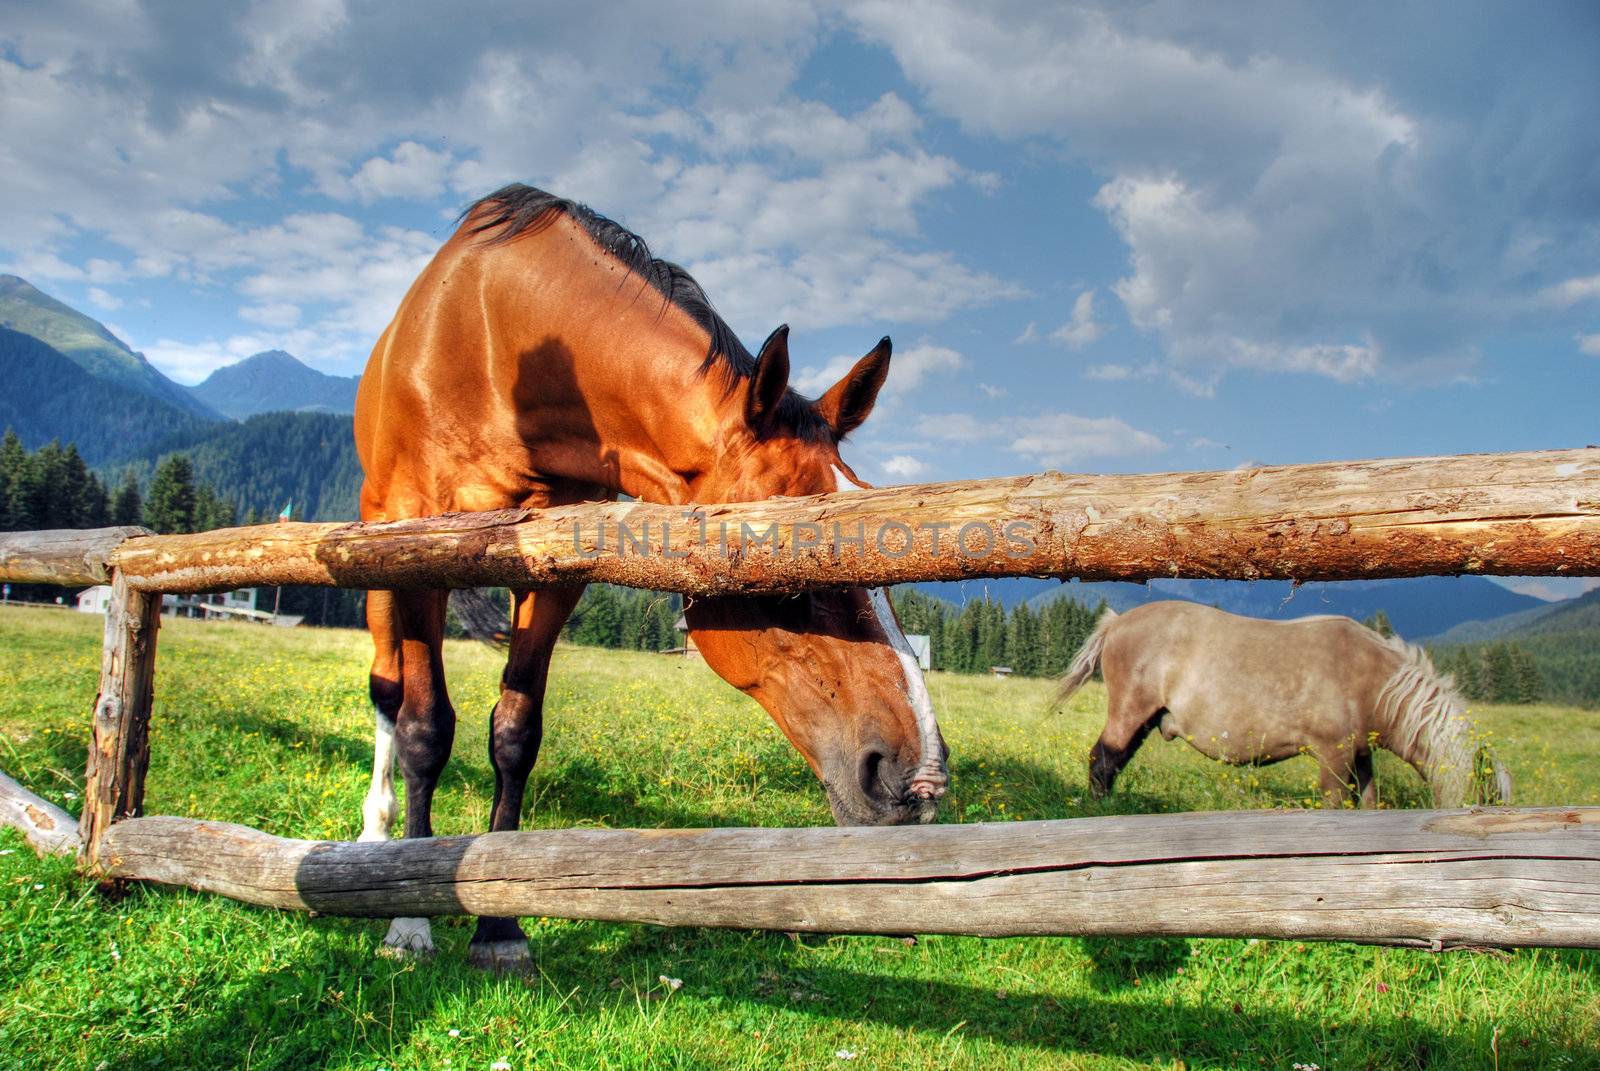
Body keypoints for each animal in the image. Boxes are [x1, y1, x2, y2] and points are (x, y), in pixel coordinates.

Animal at [352, 184, 947, 966]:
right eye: (790, 572)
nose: (920, 780)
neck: (501, 348)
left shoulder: (556, 574)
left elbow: (515, 734)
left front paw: (500, 925)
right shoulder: (421, 557)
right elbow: (426, 729)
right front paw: (409, 917)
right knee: (388, 692)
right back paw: (373, 840)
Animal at [1056, 605, 1504, 806]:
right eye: (1489, 799)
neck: (1369, 677)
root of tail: (1117, 621)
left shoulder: (1359, 753)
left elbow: (1368, 800)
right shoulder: (1333, 754)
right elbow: (1335, 802)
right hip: (1130, 711)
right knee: (1102, 758)